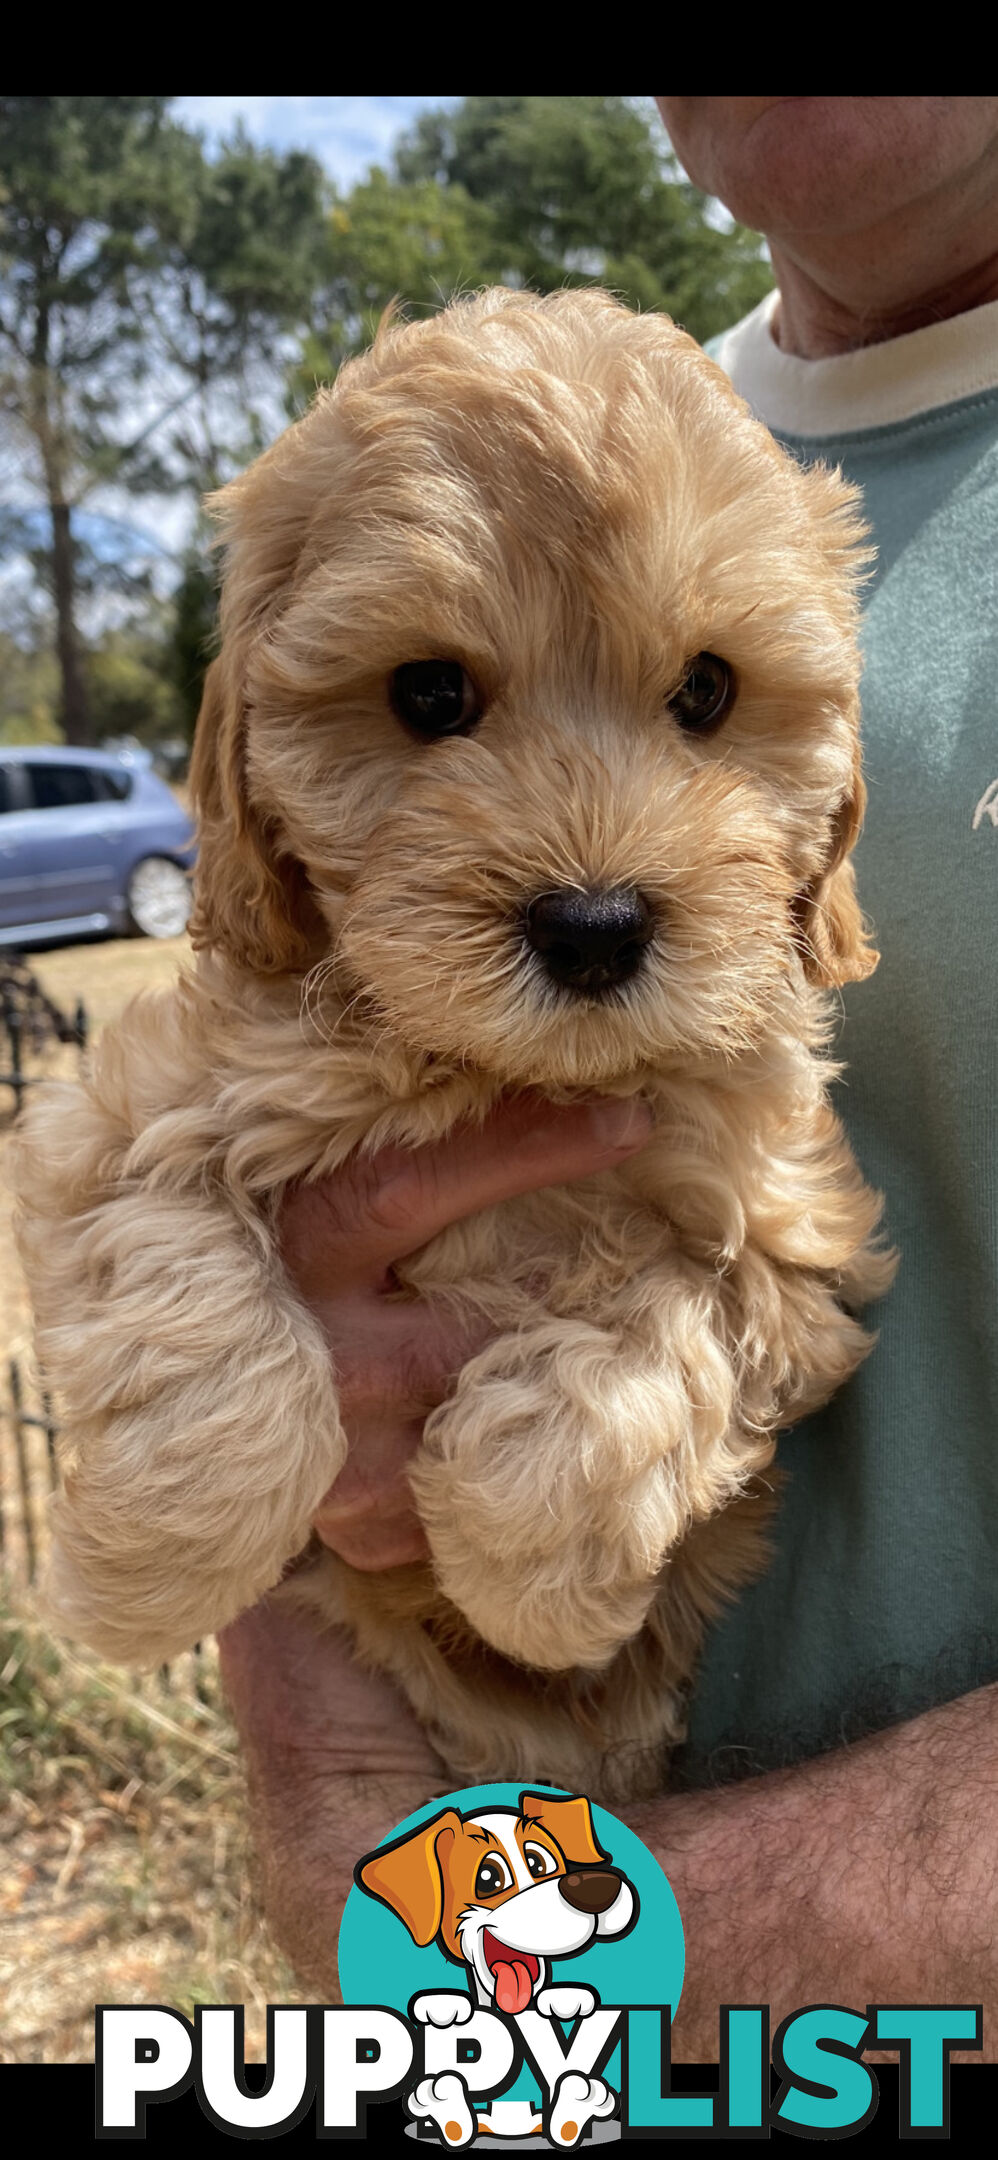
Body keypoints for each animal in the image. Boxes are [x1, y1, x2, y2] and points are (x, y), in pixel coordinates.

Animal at [11, 287, 894, 1805]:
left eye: (707, 692)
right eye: (427, 694)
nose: (593, 926)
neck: (495, 1070)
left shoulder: (798, 1251)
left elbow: (660, 1332)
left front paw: (522, 1572)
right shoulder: (119, 1116)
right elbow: (187, 1303)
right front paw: (150, 1575)